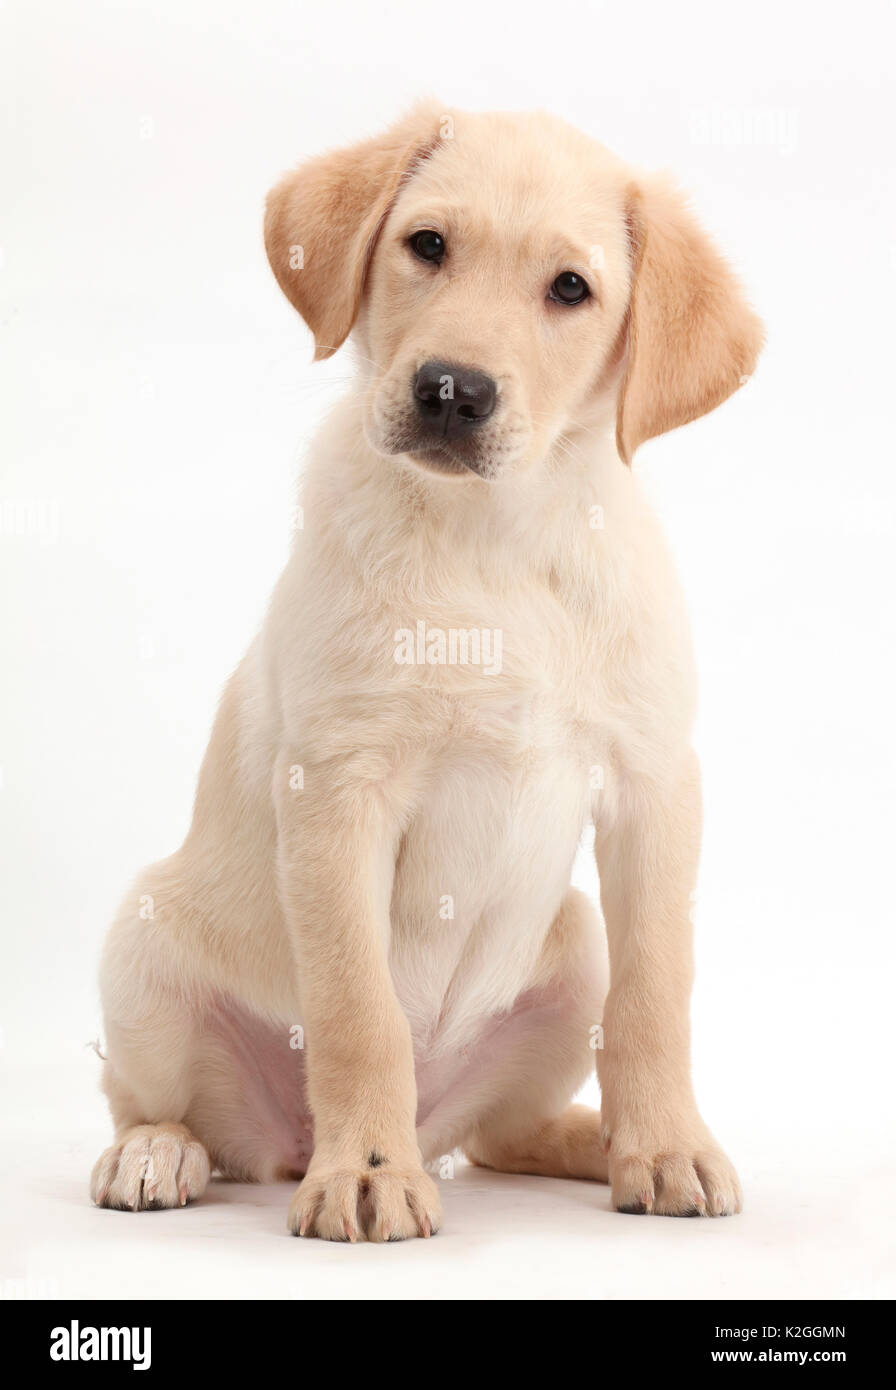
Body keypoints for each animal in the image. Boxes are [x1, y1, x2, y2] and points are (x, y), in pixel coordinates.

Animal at [92, 105, 761, 1239]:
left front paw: (668, 1144)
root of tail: (285, 1142)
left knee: (498, 1134)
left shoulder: (653, 782)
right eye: (427, 245)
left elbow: (655, 997)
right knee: (161, 1107)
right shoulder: (338, 789)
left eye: (569, 289)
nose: (451, 390)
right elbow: (358, 1010)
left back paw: (596, 1140)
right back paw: (162, 1155)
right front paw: (366, 1171)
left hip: (570, 949)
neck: (495, 541)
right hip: (141, 948)